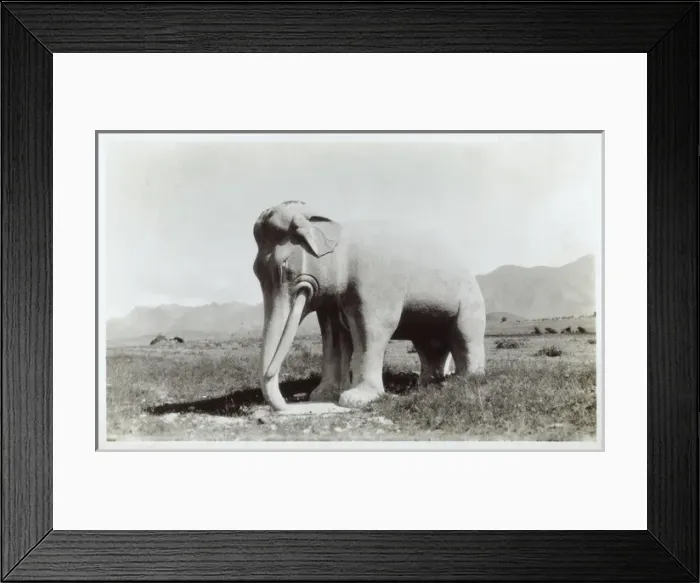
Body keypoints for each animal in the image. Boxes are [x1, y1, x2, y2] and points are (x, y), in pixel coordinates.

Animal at [252, 201, 486, 414]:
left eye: (284, 267)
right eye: (255, 271)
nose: (287, 406)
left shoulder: (374, 283)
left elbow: (372, 329)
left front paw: (355, 400)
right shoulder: (331, 303)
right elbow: (332, 336)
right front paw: (323, 395)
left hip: (471, 301)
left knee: (465, 336)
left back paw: (464, 380)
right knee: (428, 345)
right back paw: (428, 383)